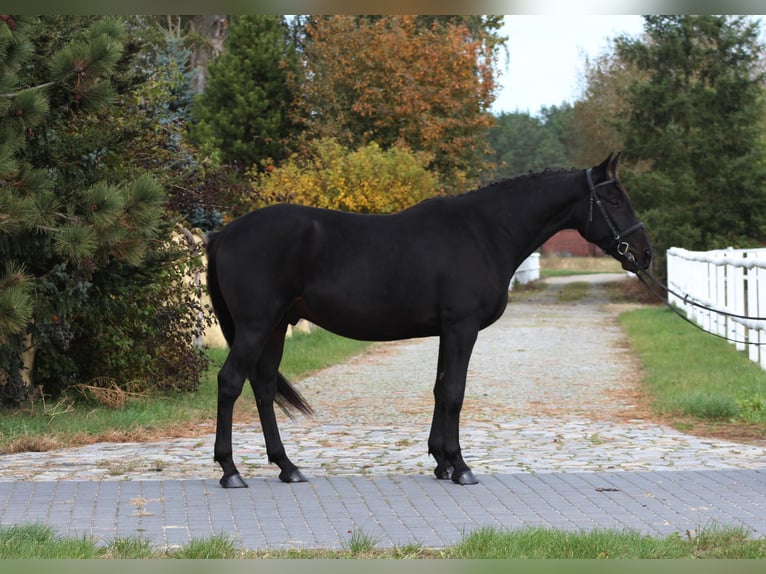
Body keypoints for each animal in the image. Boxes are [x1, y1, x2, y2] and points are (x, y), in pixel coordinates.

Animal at [207, 151, 652, 488]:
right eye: (615, 200)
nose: (644, 253)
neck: (484, 232)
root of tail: (224, 234)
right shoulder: (461, 327)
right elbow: (454, 391)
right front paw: (461, 467)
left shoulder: (446, 330)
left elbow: (440, 389)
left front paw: (441, 462)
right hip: (256, 326)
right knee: (230, 383)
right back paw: (230, 471)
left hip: (276, 327)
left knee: (264, 387)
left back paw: (288, 467)